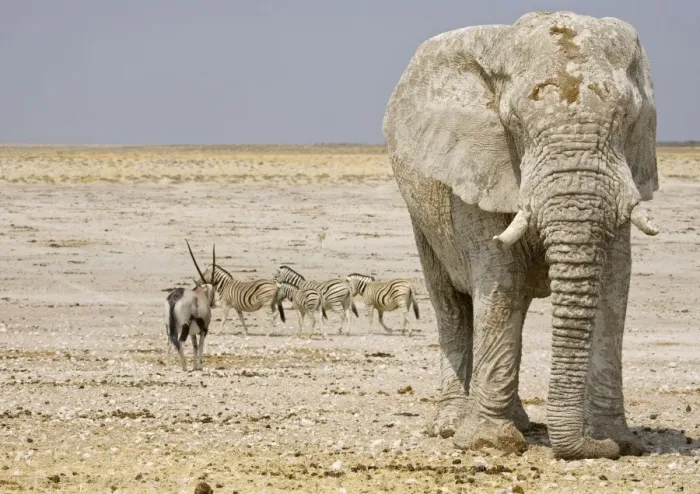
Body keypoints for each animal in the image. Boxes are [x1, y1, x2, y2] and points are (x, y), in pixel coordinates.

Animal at [164, 240, 217, 371]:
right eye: (214, 289)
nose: (213, 303)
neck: (200, 294)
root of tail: (175, 296)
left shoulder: (193, 333)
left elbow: (195, 346)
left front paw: (195, 366)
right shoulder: (204, 329)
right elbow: (201, 346)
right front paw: (199, 366)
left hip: (168, 327)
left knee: (169, 343)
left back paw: (168, 366)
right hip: (185, 326)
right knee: (180, 343)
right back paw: (184, 367)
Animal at [382, 11, 659, 460]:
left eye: (627, 118)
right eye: (514, 123)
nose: (595, 446)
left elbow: (614, 285)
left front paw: (618, 441)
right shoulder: (478, 169)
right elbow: (502, 283)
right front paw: (488, 442)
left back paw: (520, 423)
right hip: (421, 216)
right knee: (452, 306)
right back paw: (451, 426)